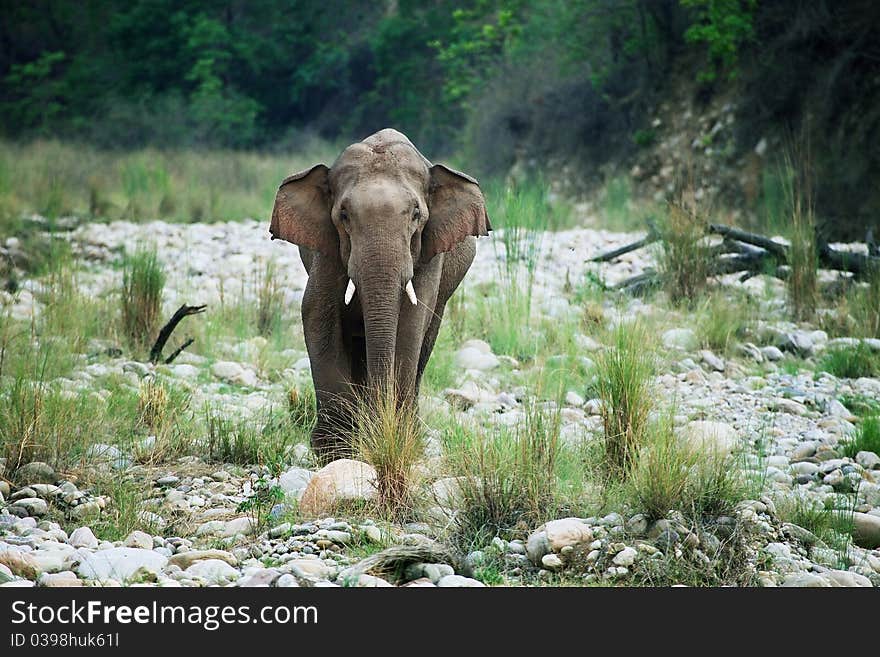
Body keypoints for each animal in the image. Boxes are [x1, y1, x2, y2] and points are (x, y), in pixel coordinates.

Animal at [268, 129, 492, 462]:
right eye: (343, 215)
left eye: (416, 214)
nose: (380, 423)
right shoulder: (327, 249)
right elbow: (317, 313)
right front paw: (336, 451)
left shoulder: (427, 251)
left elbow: (410, 323)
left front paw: (390, 437)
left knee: (425, 342)